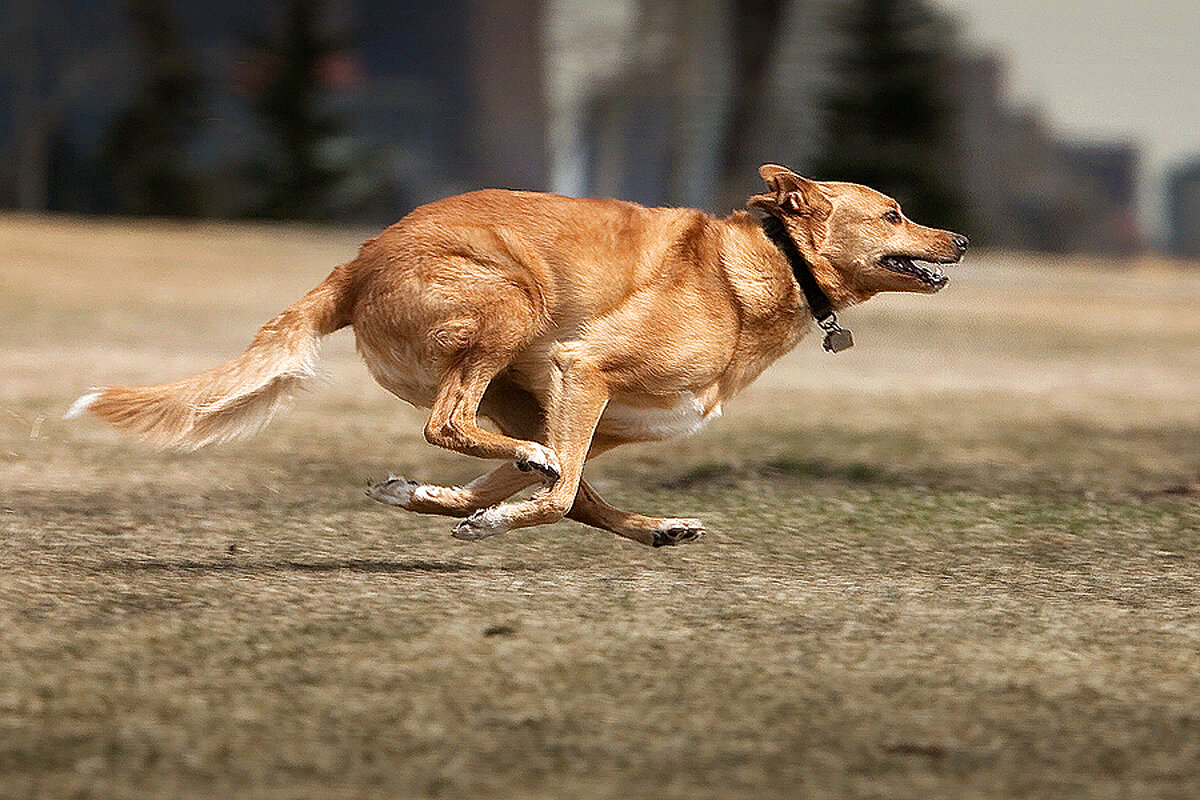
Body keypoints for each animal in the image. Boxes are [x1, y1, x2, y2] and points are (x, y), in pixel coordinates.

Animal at [63, 165, 964, 546]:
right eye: (893, 213)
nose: (958, 239)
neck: (767, 268)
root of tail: (357, 262)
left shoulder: (586, 412)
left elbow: (551, 489)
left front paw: (452, 504)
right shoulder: (582, 373)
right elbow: (554, 494)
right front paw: (494, 517)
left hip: (519, 389)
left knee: (522, 464)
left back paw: (645, 526)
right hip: (512, 305)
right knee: (455, 427)